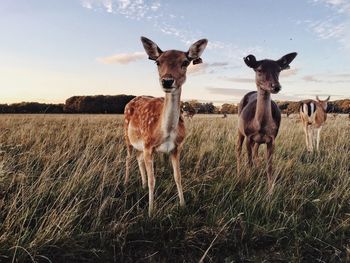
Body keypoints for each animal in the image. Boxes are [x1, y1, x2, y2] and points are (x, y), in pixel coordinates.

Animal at [124, 36, 208, 217]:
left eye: (185, 62)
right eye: (158, 62)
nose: (167, 81)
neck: (166, 132)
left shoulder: (177, 147)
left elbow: (178, 176)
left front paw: (183, 205)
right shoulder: (148, 146)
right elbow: (153, 180)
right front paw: (150, 211)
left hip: (140, 145)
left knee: (138, 158)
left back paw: (141, 185)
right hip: (127, 135)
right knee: (128, 157)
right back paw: (126, 182)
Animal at [237, 52, 296, 193]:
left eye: (279, 70)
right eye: (259, 69)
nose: (276, 86)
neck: (260, 126)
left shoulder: (272, 139)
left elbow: (269, 166)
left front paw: (270, 190)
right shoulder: (248, 136)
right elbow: (249, 161)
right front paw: (247, 180)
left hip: (258, 141)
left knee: (256, 153)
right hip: (239, 129)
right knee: (238, 150)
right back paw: (238, 173)